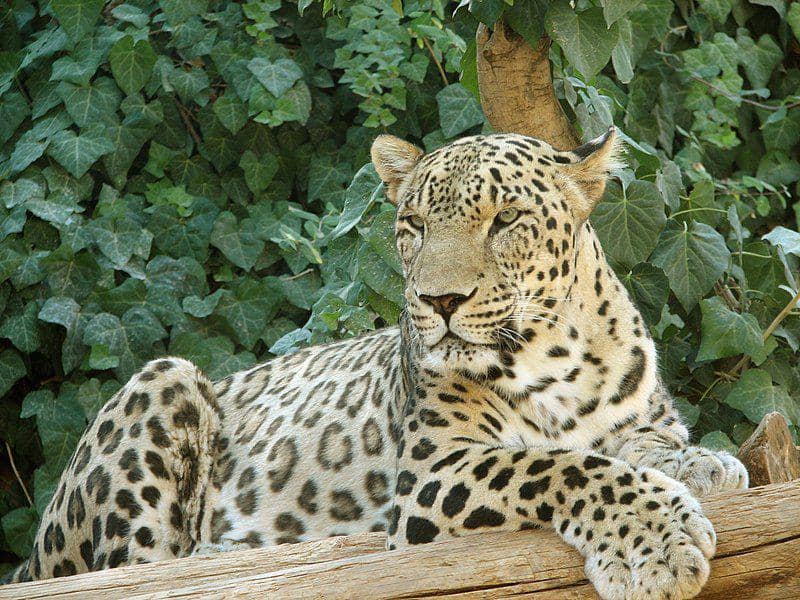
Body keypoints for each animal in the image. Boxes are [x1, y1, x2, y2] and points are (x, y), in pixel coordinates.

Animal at [4, 128, 748, 600]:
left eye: (506, 220)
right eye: (414, 225)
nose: (439, 300)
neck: (554, 356)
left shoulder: (635, 418)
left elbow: (644, 445)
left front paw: (707, 464)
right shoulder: (433, 473)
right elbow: (560, 467)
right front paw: (657, 543)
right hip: (164, 378)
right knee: (130, 571)